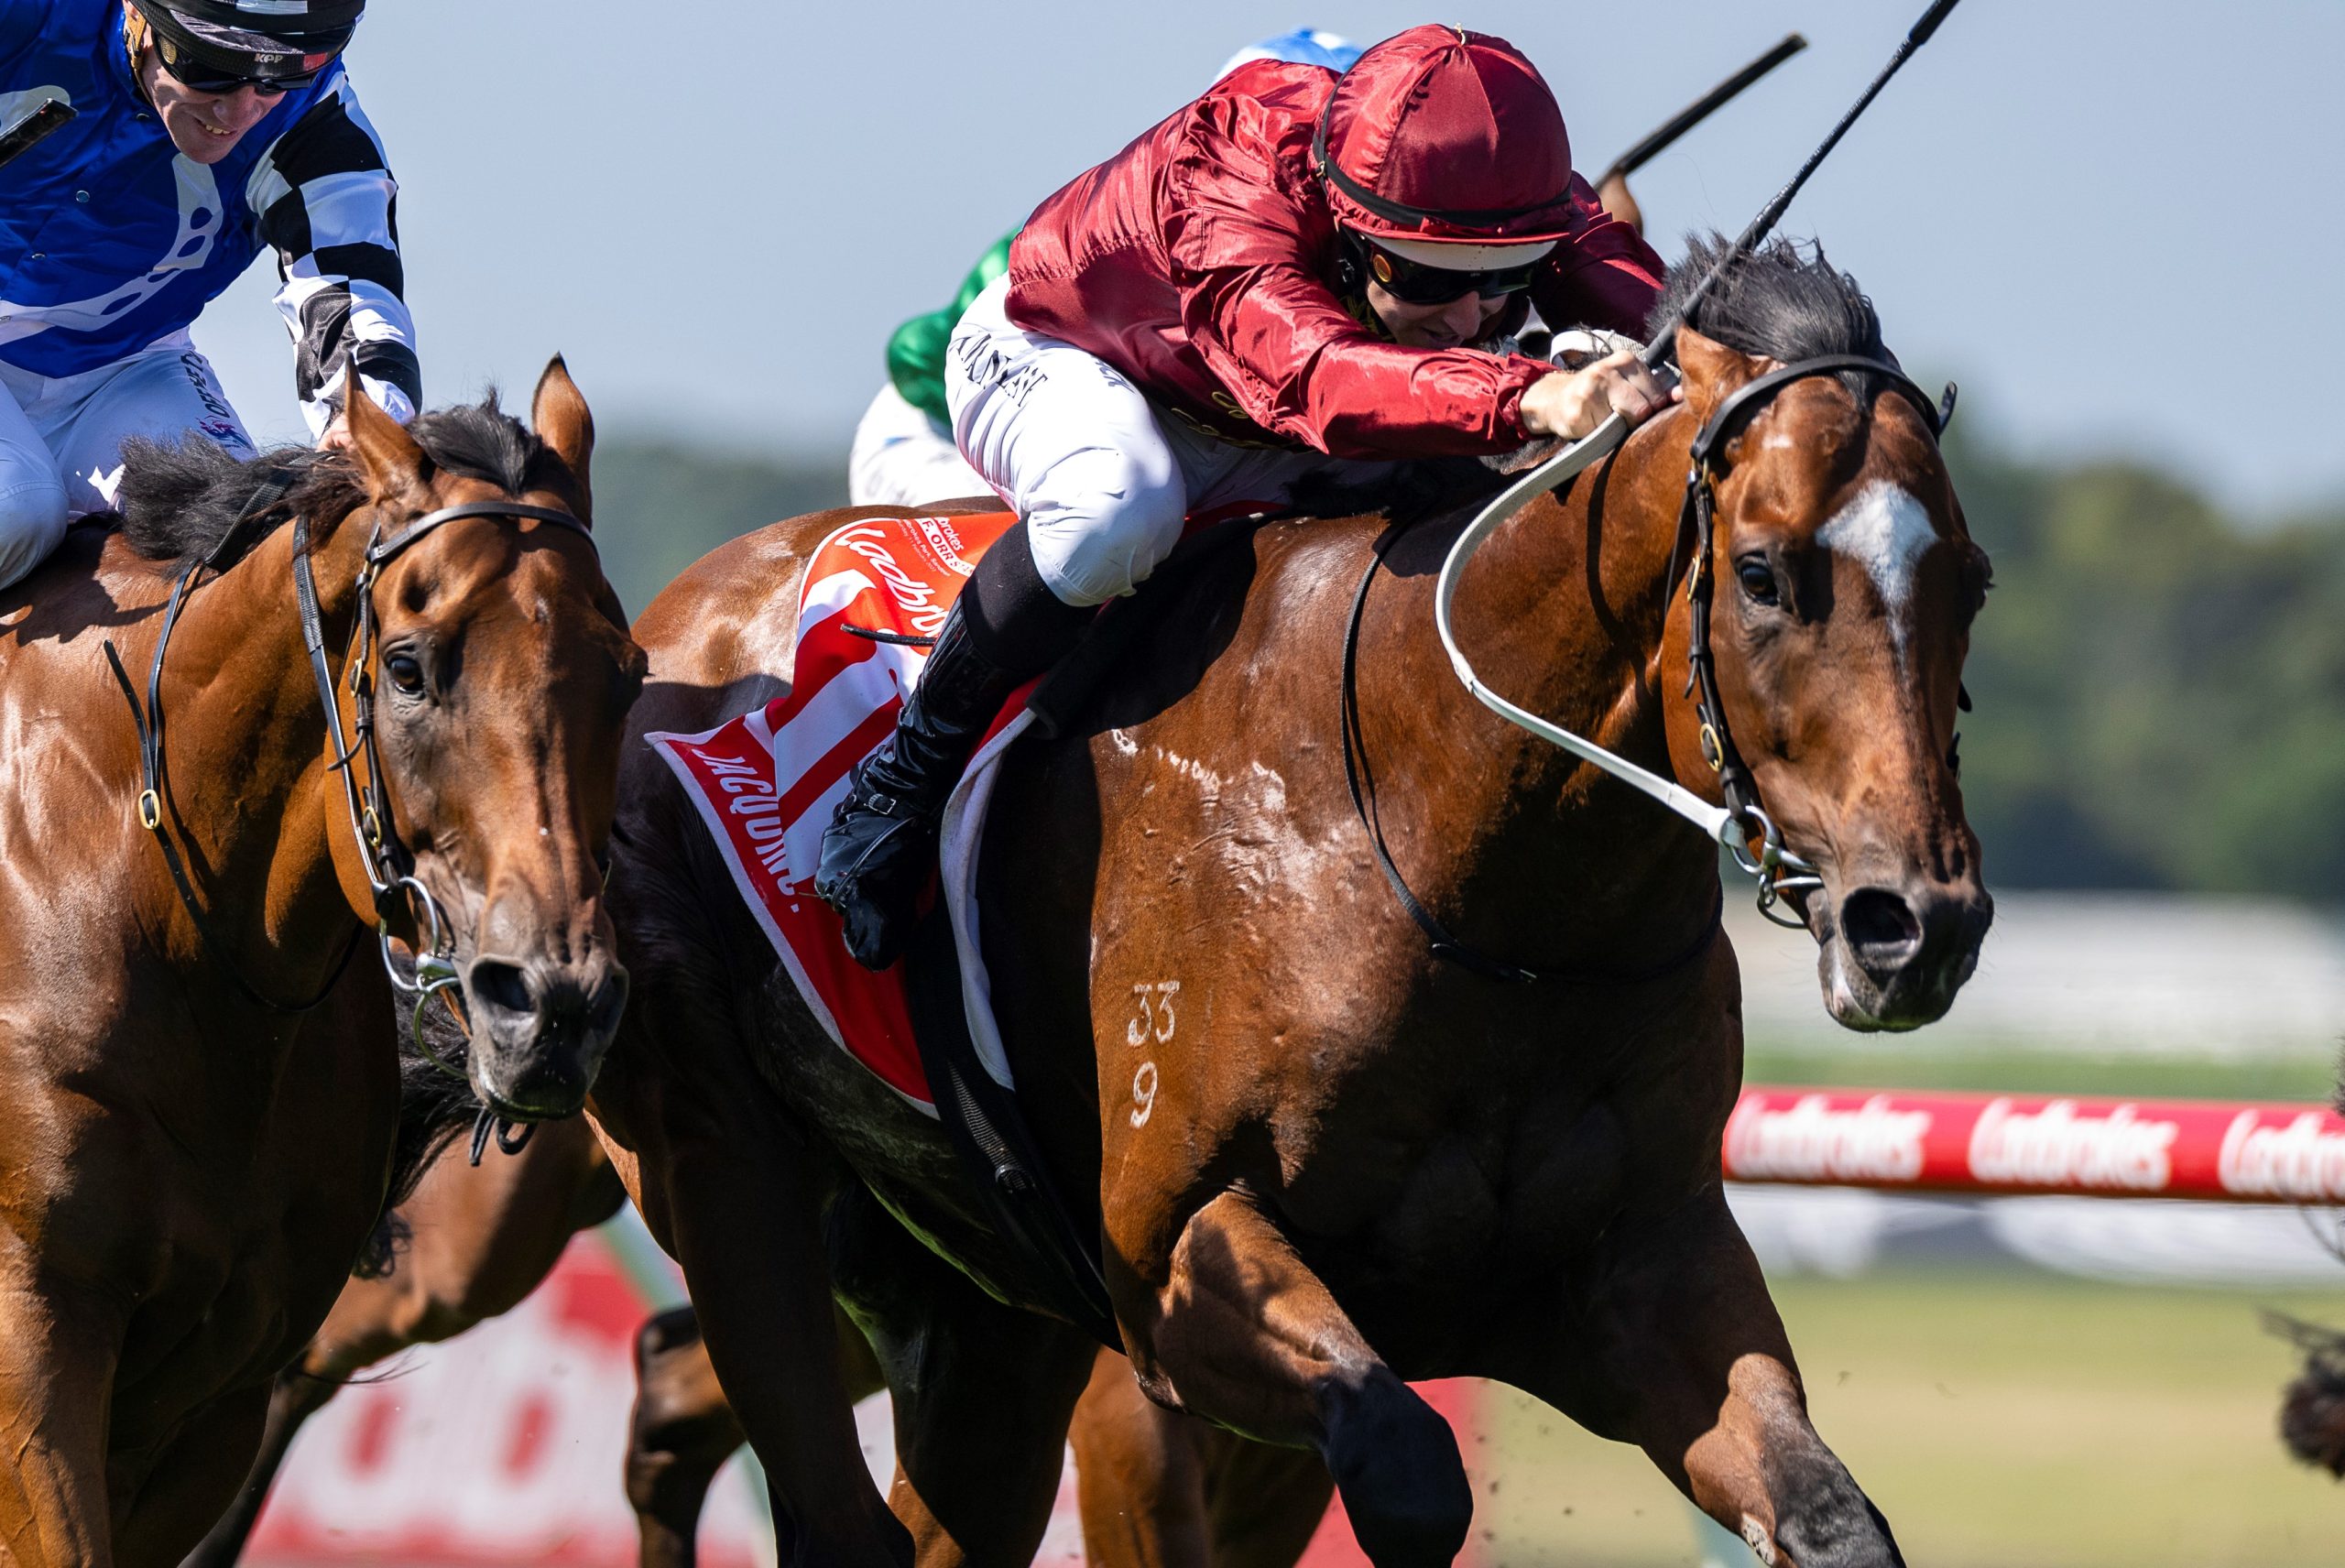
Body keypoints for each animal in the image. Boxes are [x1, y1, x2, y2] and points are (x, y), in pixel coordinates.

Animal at [591, 239, 1998, 1556]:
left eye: (1971, 578)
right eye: (1762, 573)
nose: (1917, 925)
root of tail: (671, 620)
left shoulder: (1645, 1270)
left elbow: (1828, 1515)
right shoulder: (1173, 1265)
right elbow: (1409, 1471)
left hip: (976, 1315)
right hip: (732, 1169)